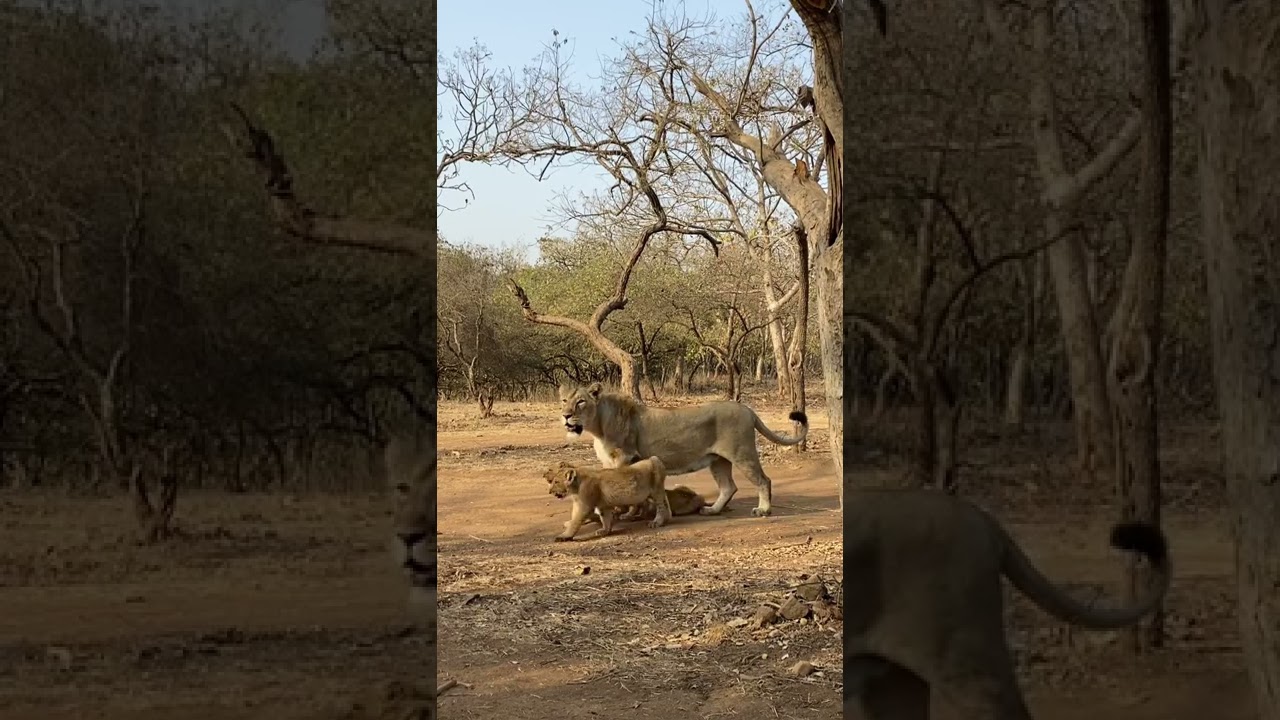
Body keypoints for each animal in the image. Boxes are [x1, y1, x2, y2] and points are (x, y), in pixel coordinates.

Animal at [557, 382, 807, 517]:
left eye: (581, 401)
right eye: (563, 400)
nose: (566, 416)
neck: (597, 427)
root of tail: (748, 409)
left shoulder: (626, 458)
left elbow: (626, 487)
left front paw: (627, 513)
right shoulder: (610, 463)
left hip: (742, 453)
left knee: (763, 480)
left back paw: (763, 510)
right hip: (718, 460)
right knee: (729, 487)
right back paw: (712, 510)